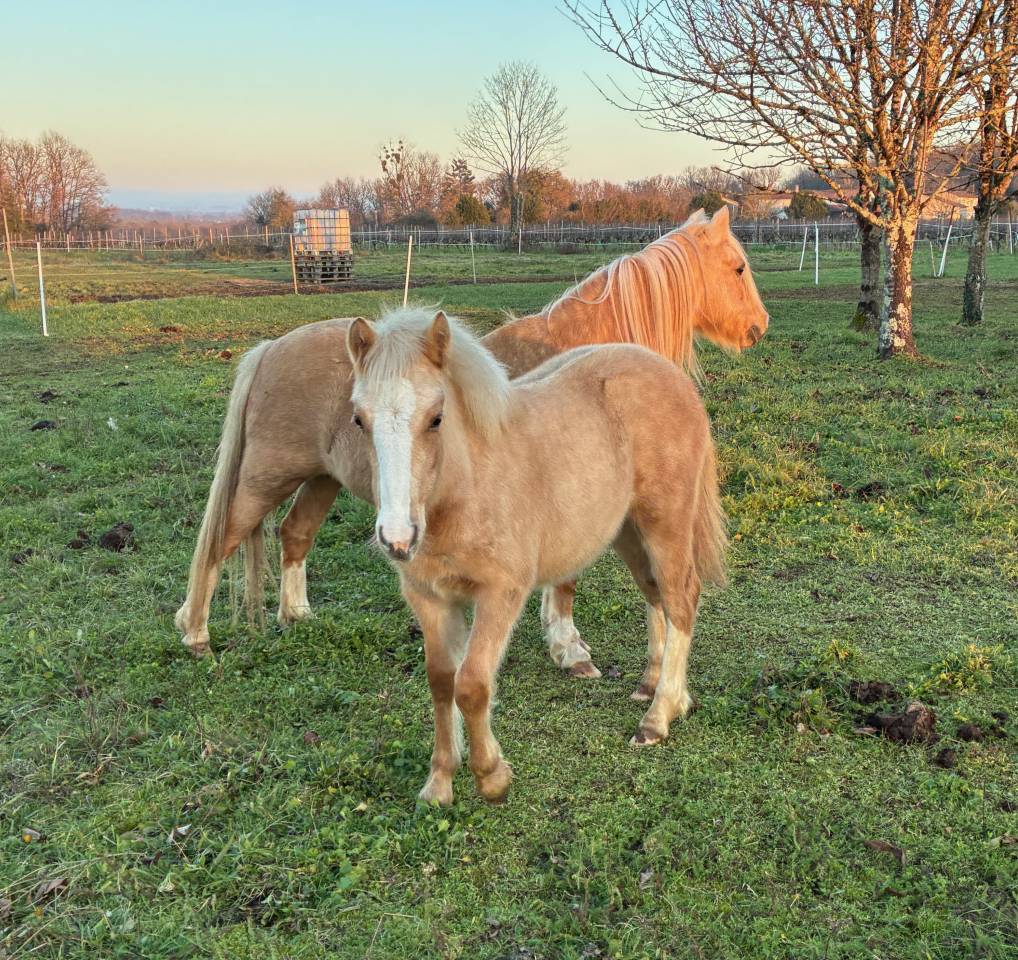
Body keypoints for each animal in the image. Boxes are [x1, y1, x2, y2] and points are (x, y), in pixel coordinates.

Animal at [175, 206, 766, 668]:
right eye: (738, 267)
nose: (759, 326)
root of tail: (269, 348)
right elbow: (568, 581)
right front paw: (570, 648)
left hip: (322, 478)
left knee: (294, 534)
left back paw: (296, 615)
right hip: (264, 478)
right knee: (221, 539)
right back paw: (197, 633)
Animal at [346, 307, 726, 805]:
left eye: (436, 418)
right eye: (359, 419)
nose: (397, 539)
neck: (465, 489)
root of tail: (672, 376)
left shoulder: (500, 594)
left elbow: (472, 684)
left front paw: (491, 776)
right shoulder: (429, 599)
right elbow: (441, 682)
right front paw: (440, 782)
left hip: (666, 526)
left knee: (681, 600)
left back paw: (659, 717)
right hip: (627, 532)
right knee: (656, 596)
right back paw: (654, 687)